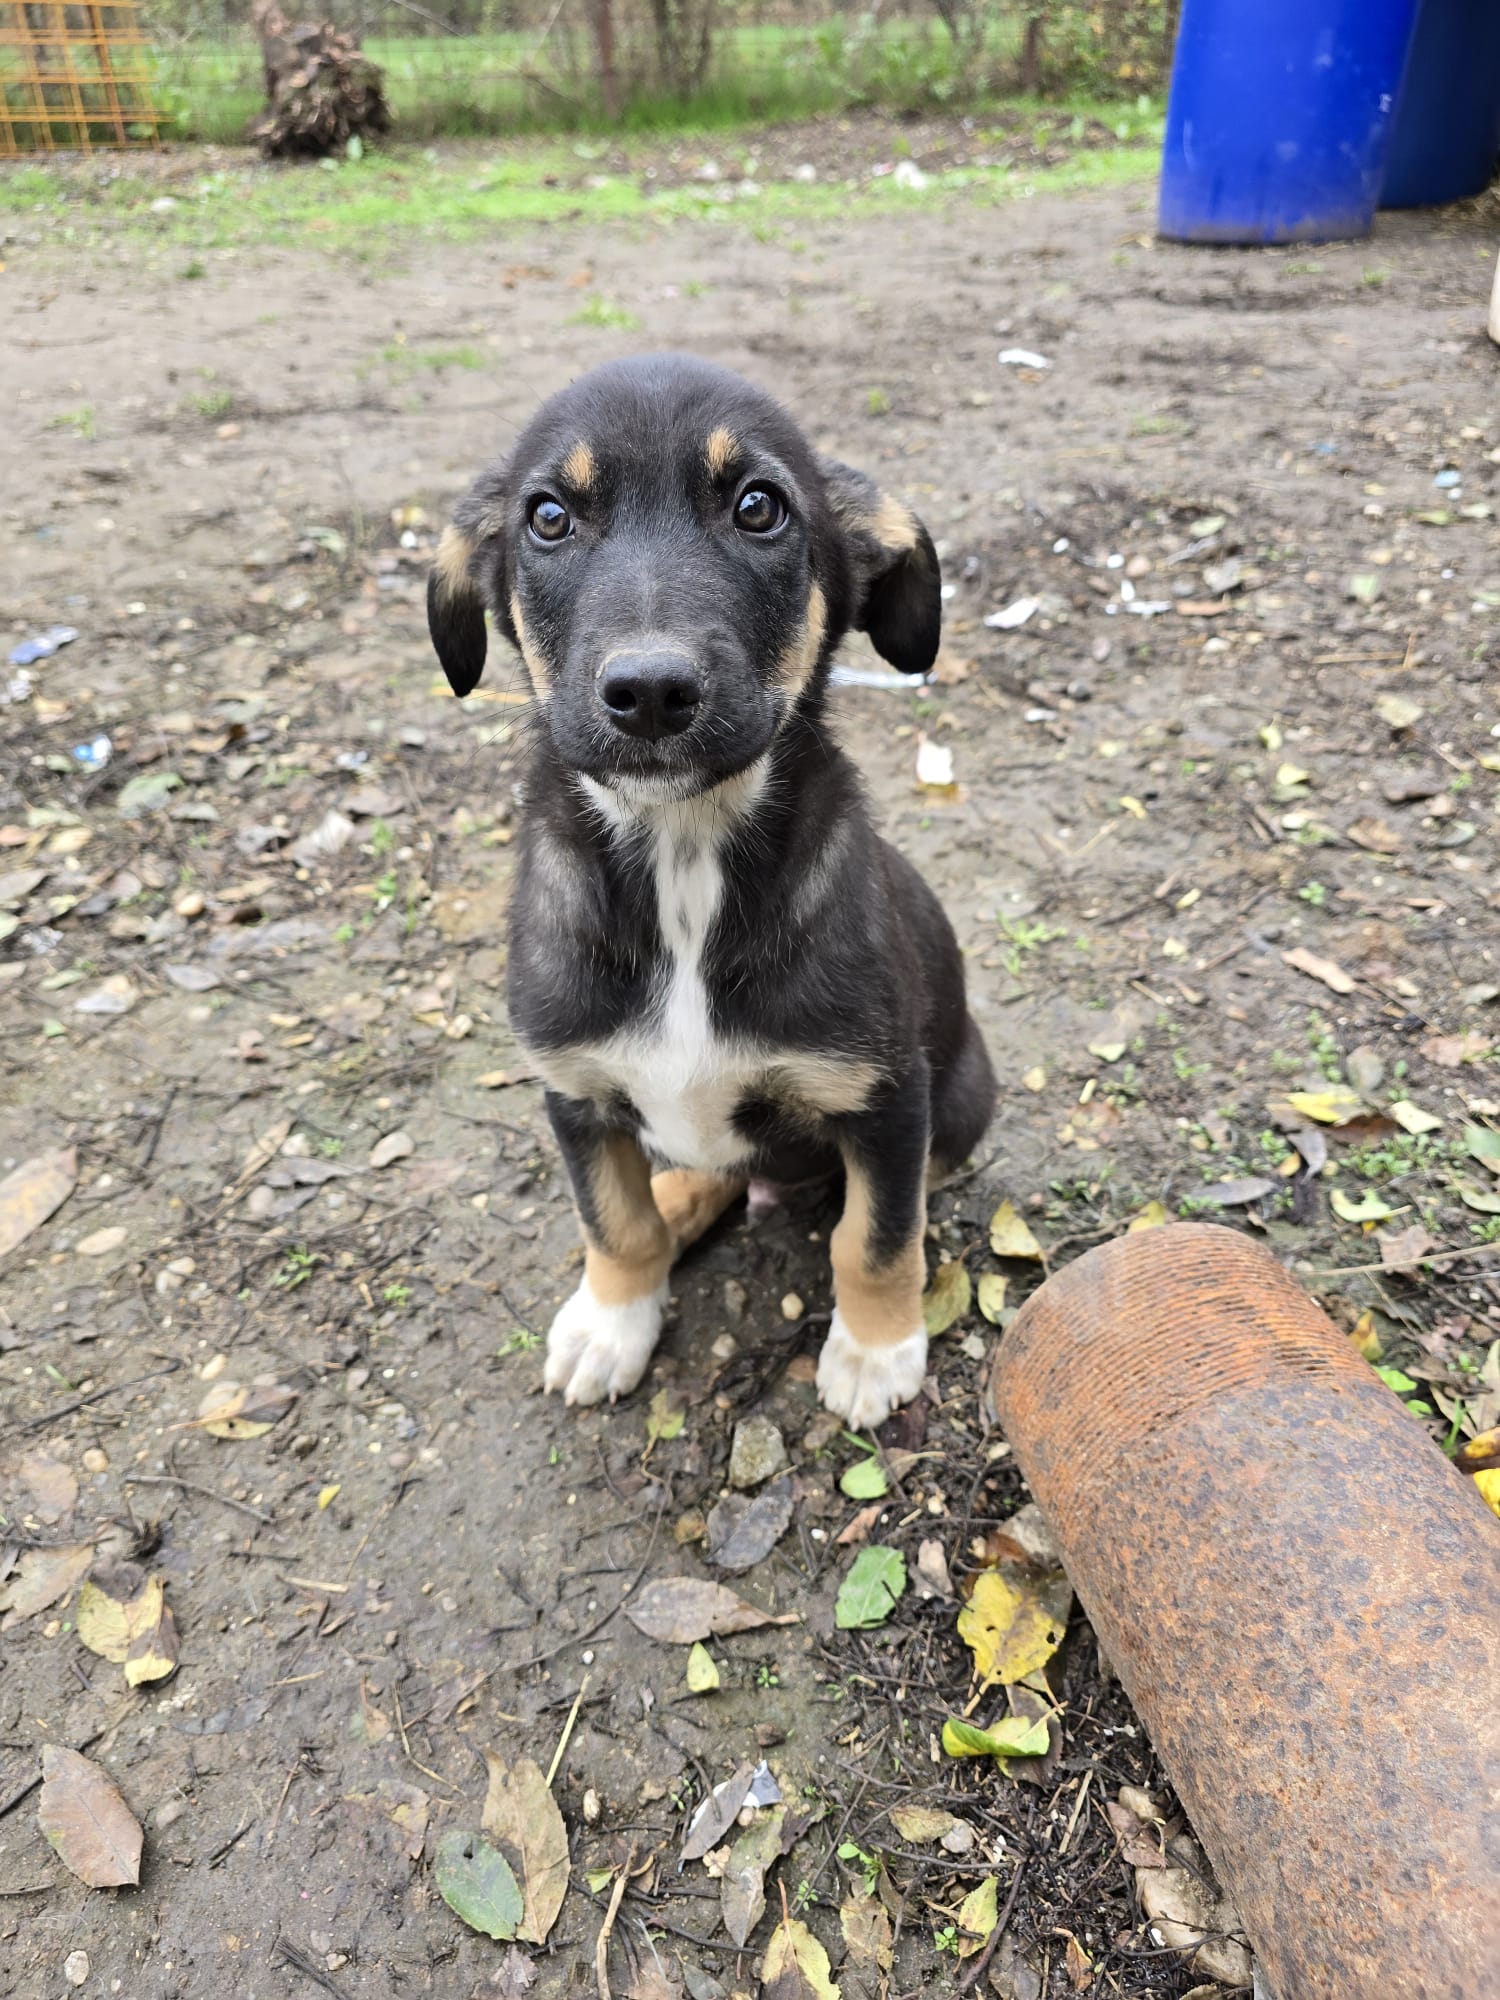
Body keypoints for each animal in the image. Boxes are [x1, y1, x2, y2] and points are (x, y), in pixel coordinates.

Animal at [427, 354, 996, 1428]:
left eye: (758, 506)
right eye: (549, 517)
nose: (650, 692)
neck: (682, 861)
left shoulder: (887, 1094)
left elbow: (876, 1235)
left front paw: (874, 1350)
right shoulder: (574, 1088)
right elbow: (614, 1222)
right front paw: (614, 1322)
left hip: (965, 1090)